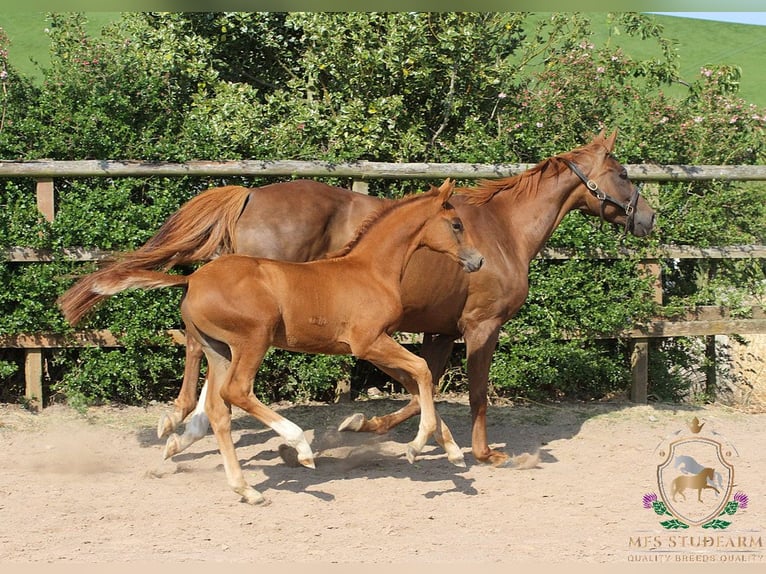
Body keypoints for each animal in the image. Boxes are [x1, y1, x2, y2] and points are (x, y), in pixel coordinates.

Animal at [58, 130, 656, 467]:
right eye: (625, 173)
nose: (649, 219)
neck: (503, 231)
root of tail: (248, 193)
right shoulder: (480, 328)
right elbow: (473, 393)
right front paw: (484, 454)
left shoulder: (436, 331)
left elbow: (421, 388)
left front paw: (367, 429)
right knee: (204, 358)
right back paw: (188, 425)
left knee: (205, 358)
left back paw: (185, 432)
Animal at [85, 180, 484, 504]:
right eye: (456, 225)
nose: (478, 260)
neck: (369, 271)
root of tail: (192, 280)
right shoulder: (368, 343)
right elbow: (422, 371)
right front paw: (419, 446)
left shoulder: (374, 347)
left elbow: (418, 382)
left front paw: (452, 451)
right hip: (254, 340)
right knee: (237, 392)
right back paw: (299, 447)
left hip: (220, 349)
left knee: (218, 408)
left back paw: (245, 489)